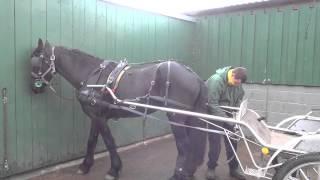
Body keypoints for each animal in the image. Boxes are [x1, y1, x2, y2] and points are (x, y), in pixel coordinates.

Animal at [30, 39, 209, 180]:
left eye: (37, 62)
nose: (34, 88)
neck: (93, 76)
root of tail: (193, 75)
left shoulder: (100, 118)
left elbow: (109, 142)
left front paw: (114, 170)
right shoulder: (95, 116)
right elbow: (91, 141)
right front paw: (85, 166)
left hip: (176, 116)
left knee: (184, 145)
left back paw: (179, 174)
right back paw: (188, 172)